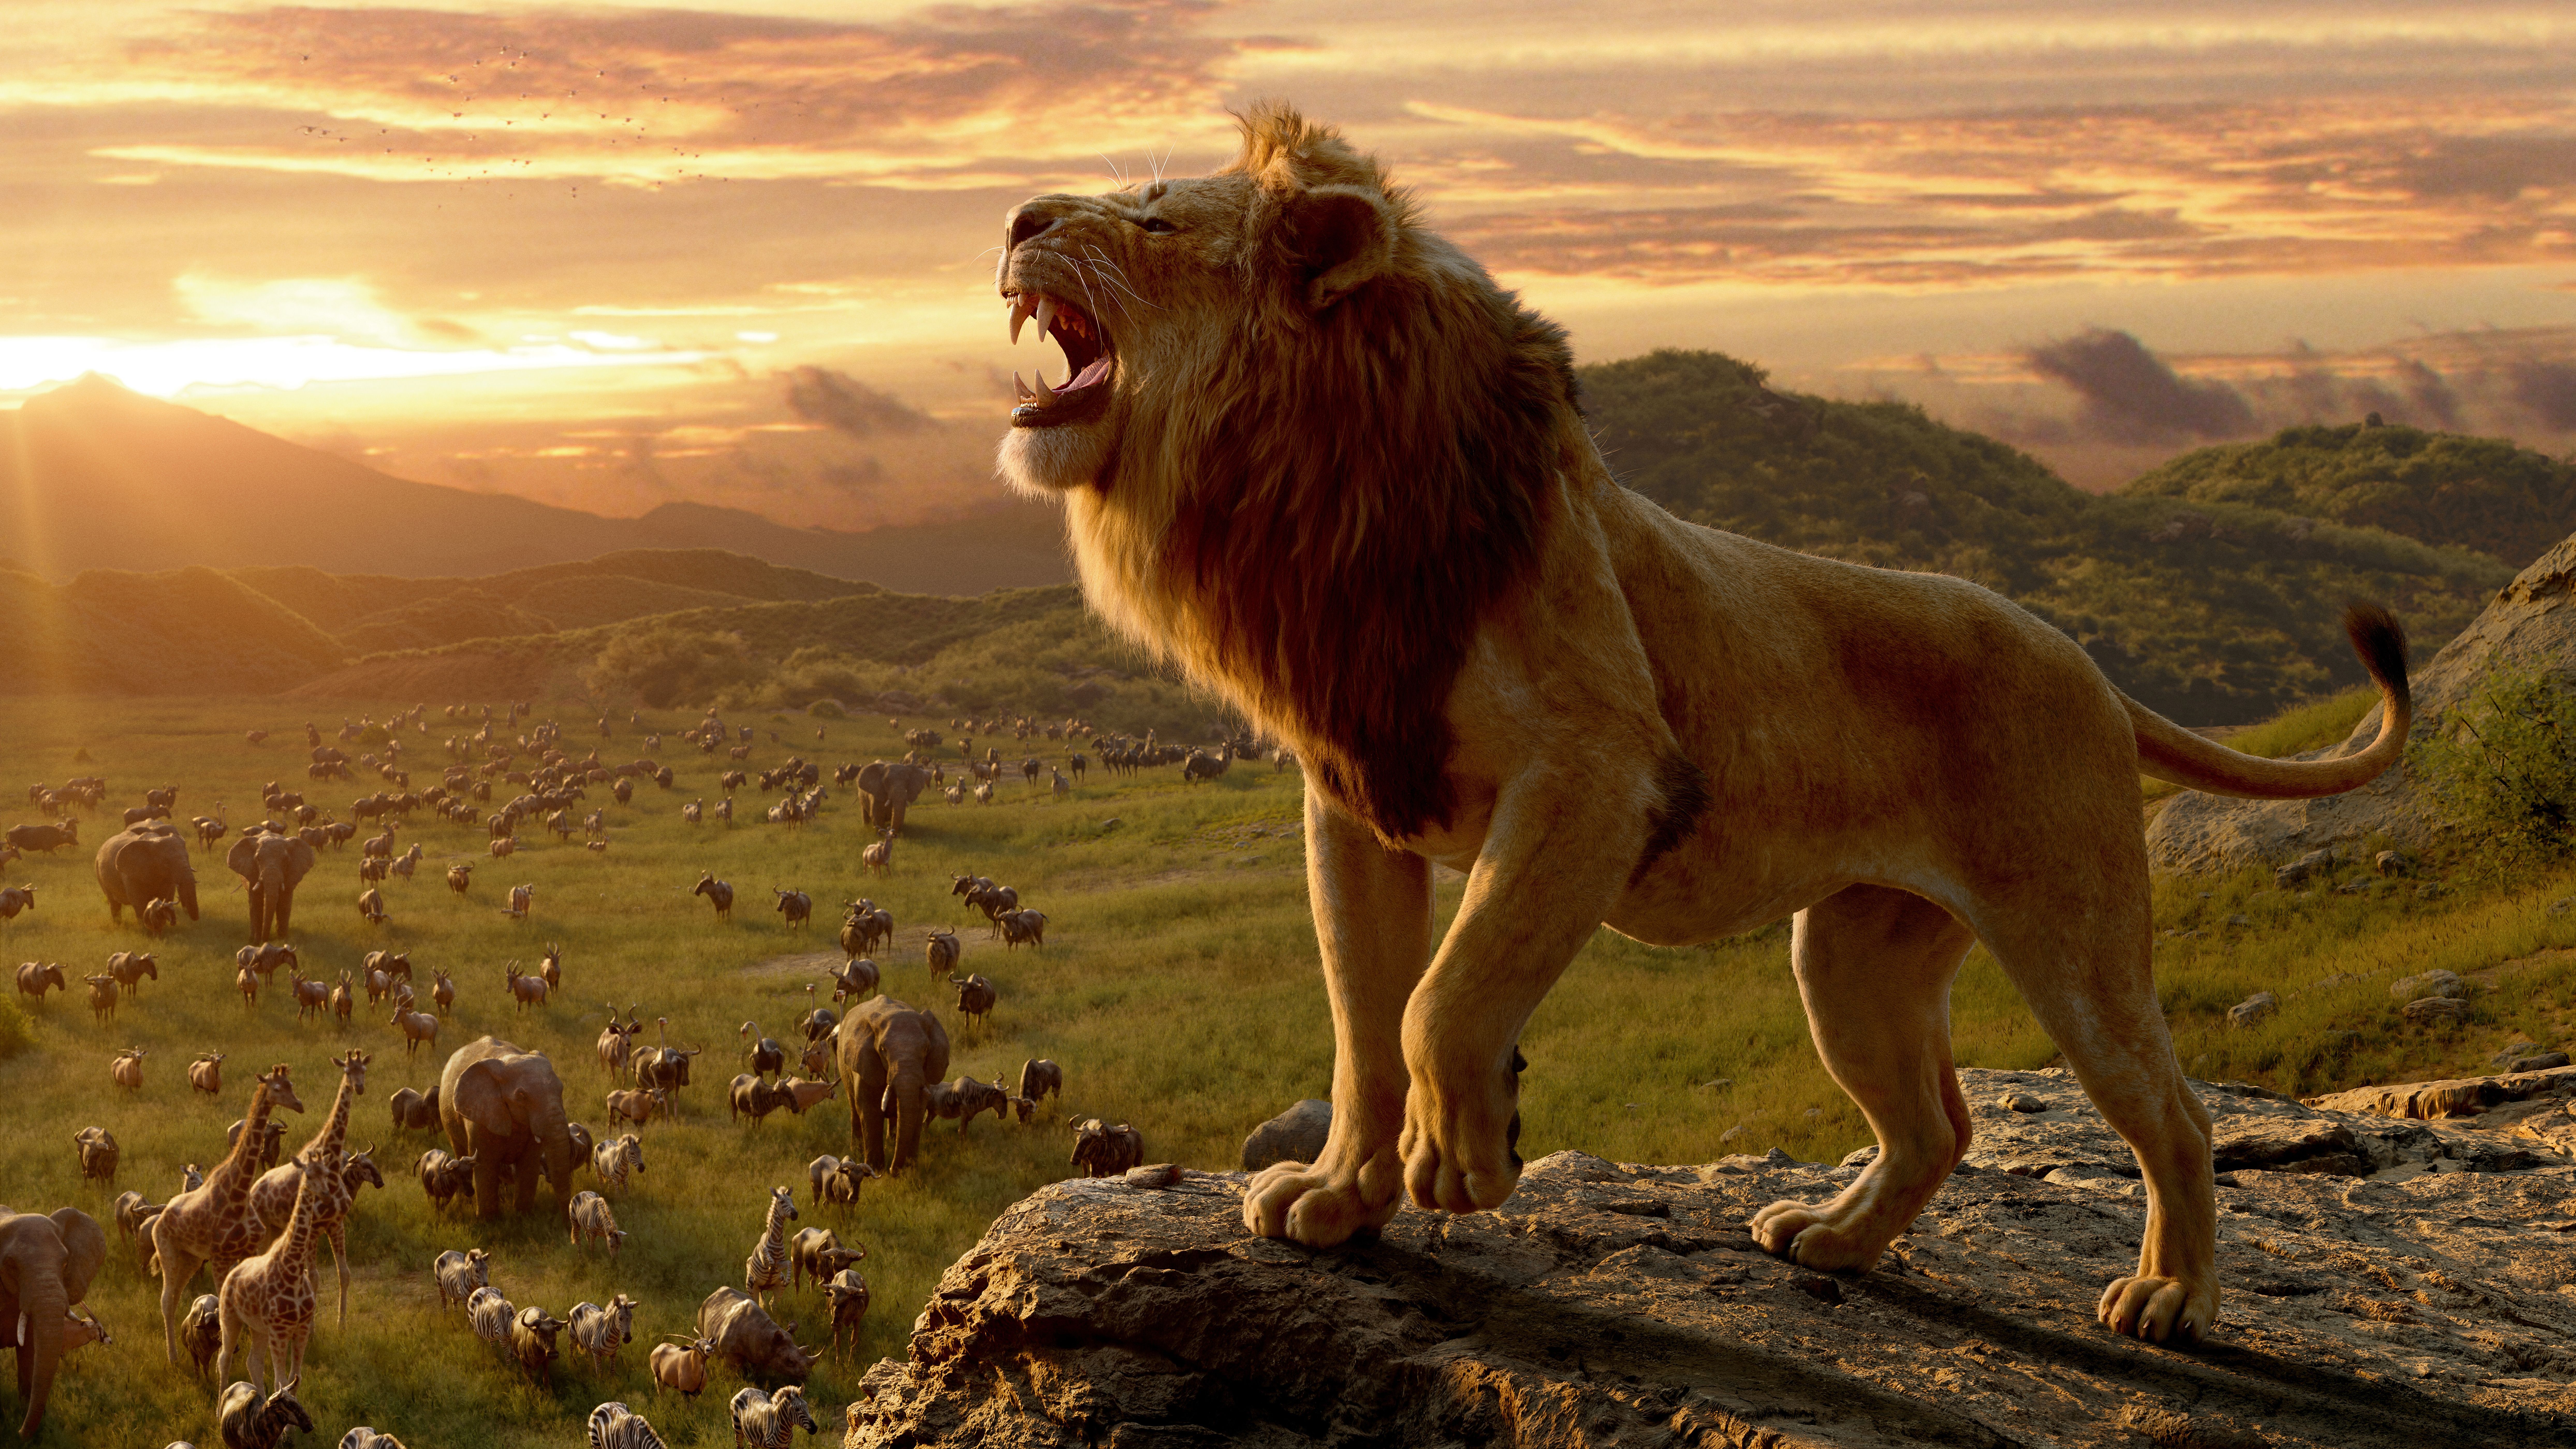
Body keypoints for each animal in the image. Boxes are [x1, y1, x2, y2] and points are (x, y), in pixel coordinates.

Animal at [992, 103, 2410, 1345]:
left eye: (1153, 219)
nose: (1012, 216)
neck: (1309, 497)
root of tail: (2091, 667)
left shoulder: (1597, 772)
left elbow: (1440, 999)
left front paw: (1463, 1159)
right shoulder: (1356, 797)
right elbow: (1359, 1023)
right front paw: (1339, 1199)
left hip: (2072, 935)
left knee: (2169, 1111)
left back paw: (2169, 1296)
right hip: (1851, 958)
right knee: (1935, 1124)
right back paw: (1830, 1240)